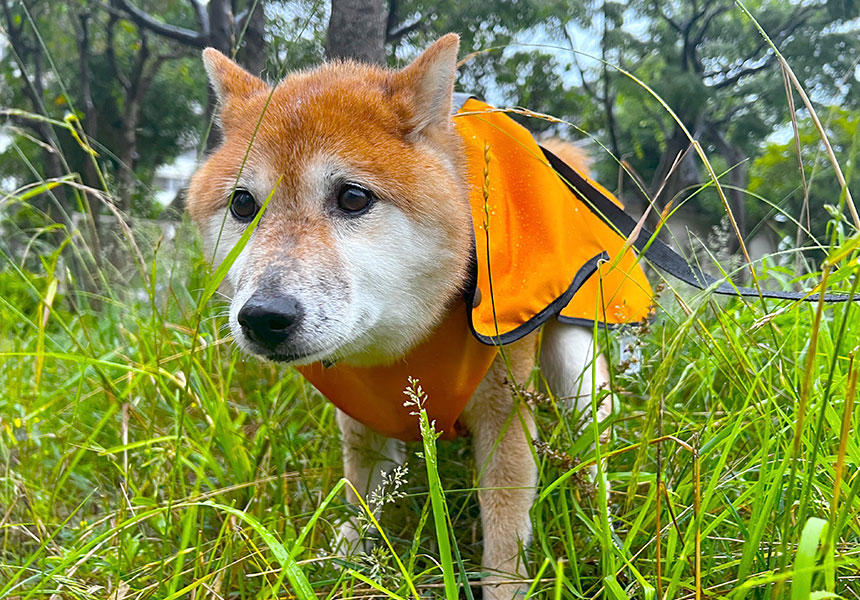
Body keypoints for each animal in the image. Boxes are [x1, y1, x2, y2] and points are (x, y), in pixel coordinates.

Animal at [185, 34, 648, 600]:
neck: (406, 341)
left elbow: (504, 523)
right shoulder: (362, 419)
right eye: (243, 204)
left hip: (574, 369)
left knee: (592, 442)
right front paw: (342, 564)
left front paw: (503, 586)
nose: (264, 317)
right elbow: (363, 500)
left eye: (353, 197)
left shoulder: (505, 413)